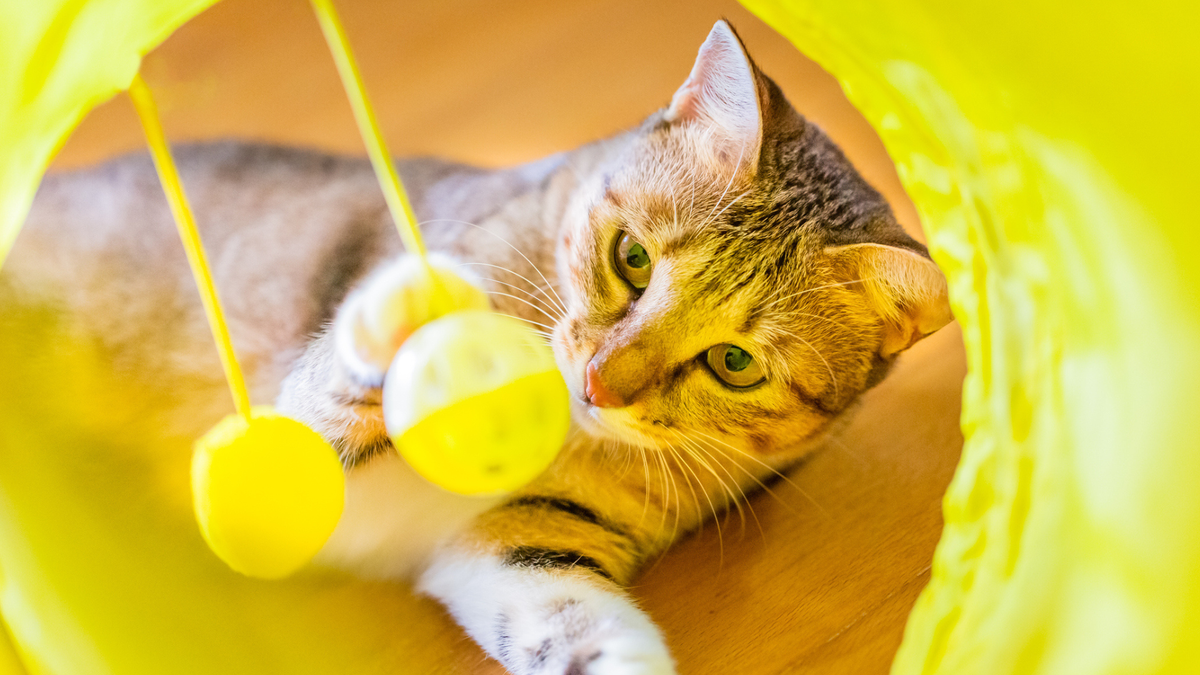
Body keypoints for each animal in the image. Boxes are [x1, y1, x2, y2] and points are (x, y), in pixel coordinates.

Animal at [4, 19, 950, 672]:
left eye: (735, 362)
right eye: (633, 258)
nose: (599, 384)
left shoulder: (522, 541)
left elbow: (580, 629)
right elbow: (324, 405)